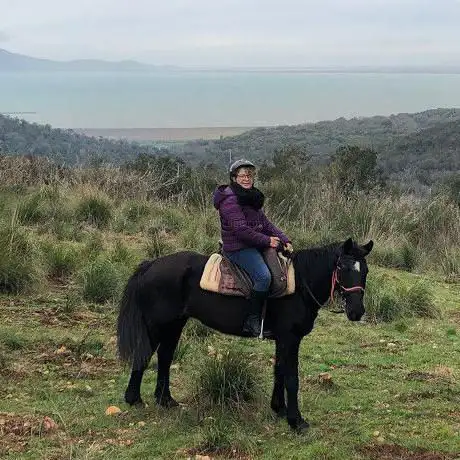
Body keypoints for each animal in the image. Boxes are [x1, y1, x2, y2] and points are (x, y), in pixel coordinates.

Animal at [117, 237, 372, 432]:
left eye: (365, 271)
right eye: (343, 268)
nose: (357, 312)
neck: (299, 285)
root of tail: (151, 264)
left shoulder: (282, 339)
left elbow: (279, 371)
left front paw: (279, 408)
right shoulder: (290, 338)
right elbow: (291, 378)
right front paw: (296, 421)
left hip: (175, 324)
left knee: (165, 357)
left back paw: (165, 400)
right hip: (157, 325)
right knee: (144, 355)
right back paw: (133, 398)